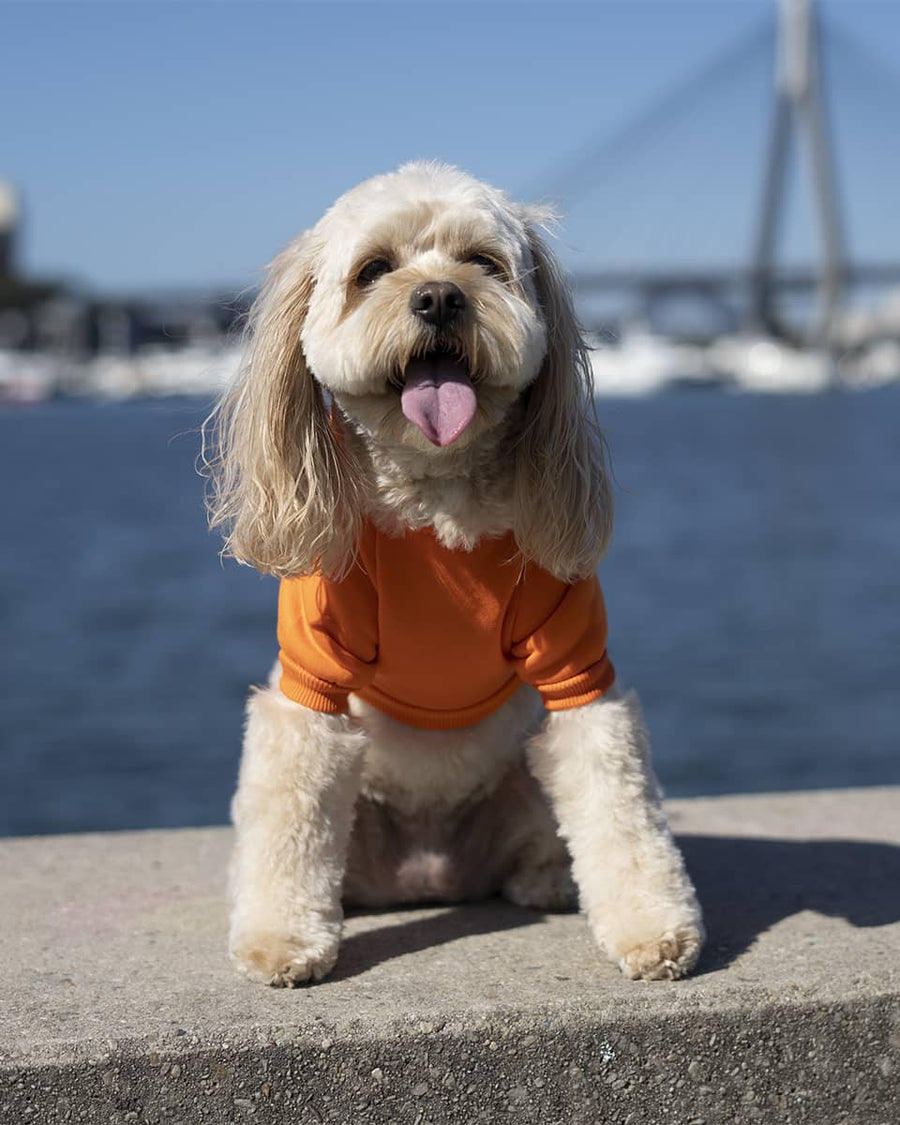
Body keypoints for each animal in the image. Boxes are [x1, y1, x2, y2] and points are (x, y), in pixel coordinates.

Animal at [205, 163, 702, 990]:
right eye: (374, 269)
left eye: (483, 263)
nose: (439, 297)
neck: (436, 498)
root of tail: (429, 875)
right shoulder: (310, 676)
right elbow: (291, 804)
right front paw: (279, 939)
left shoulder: (578, 666)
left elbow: (618, 796)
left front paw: (653, 927)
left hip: (522, 781)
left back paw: (550, 878)